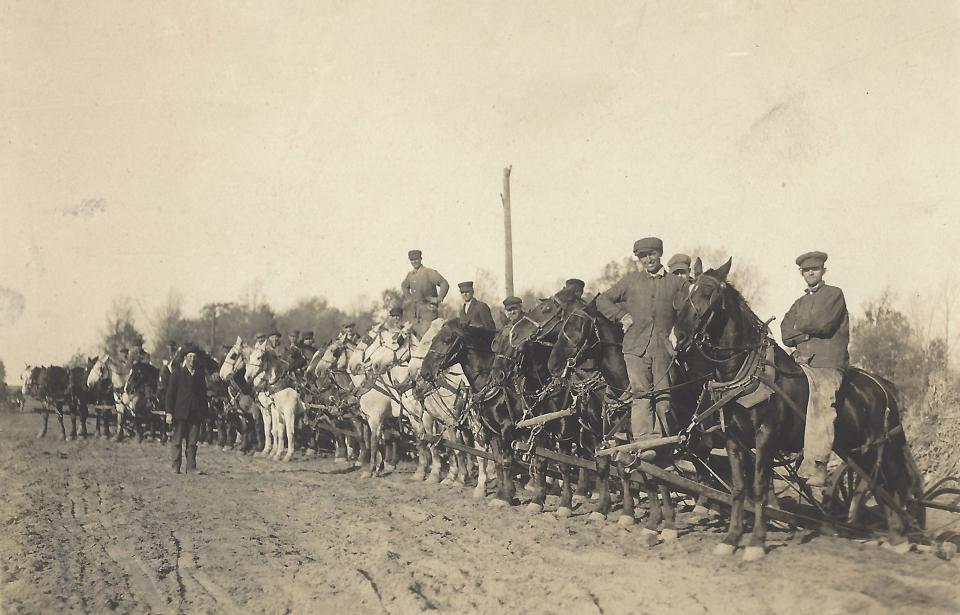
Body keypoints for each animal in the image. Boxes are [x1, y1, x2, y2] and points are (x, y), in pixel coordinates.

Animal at [676, 258, 924, 560]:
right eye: (687, 291)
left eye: (708, 293)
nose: (680, 336)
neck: (750, 372)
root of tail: (885, 386)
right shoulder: (733, 438)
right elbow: (738, 488)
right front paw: (732, 538)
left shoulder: (765, 436)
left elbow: (759, 487)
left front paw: (756, 542)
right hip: (859, 450)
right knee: (878, 484)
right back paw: (893, 533)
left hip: (879, 445)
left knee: (893, 482)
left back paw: (899, 536)